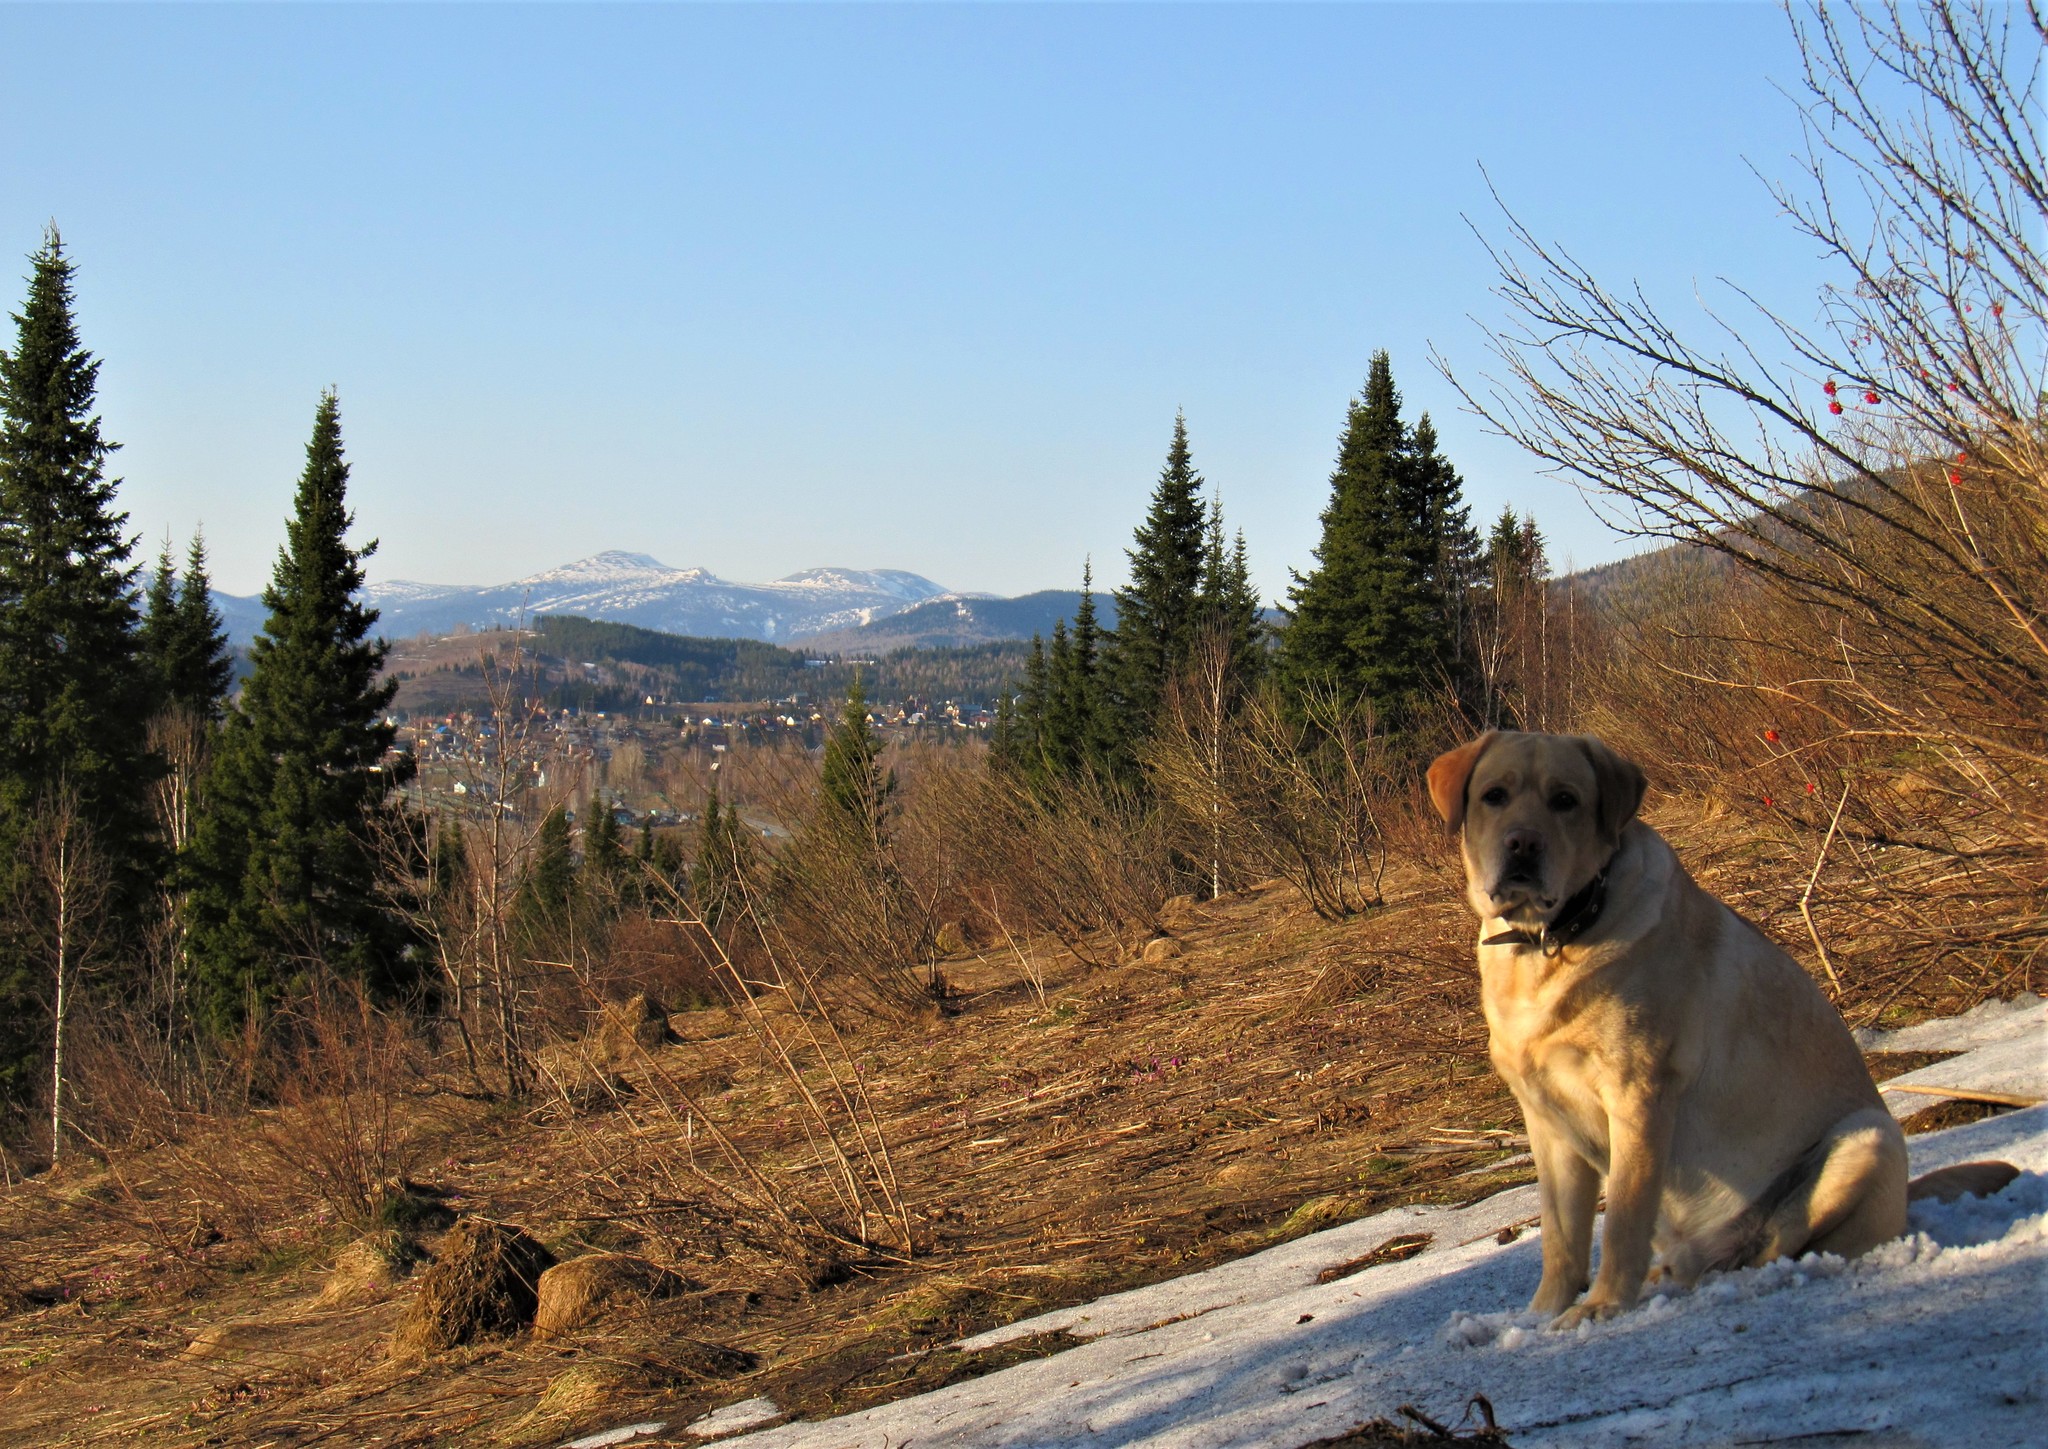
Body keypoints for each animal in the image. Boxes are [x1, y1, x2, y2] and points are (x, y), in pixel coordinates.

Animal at [1425, 728, 2015, 1326]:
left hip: (1869, 1137)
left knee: (1778, 1244)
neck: (1552, 939)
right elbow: (1561, 1238)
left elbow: (1623, 1222)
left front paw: (1604, 1306)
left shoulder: (1639, 1097)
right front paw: (1541, 1316)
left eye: (1564, 800)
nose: (1522, 845)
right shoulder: (1546, 1118)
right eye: (1494, 796)